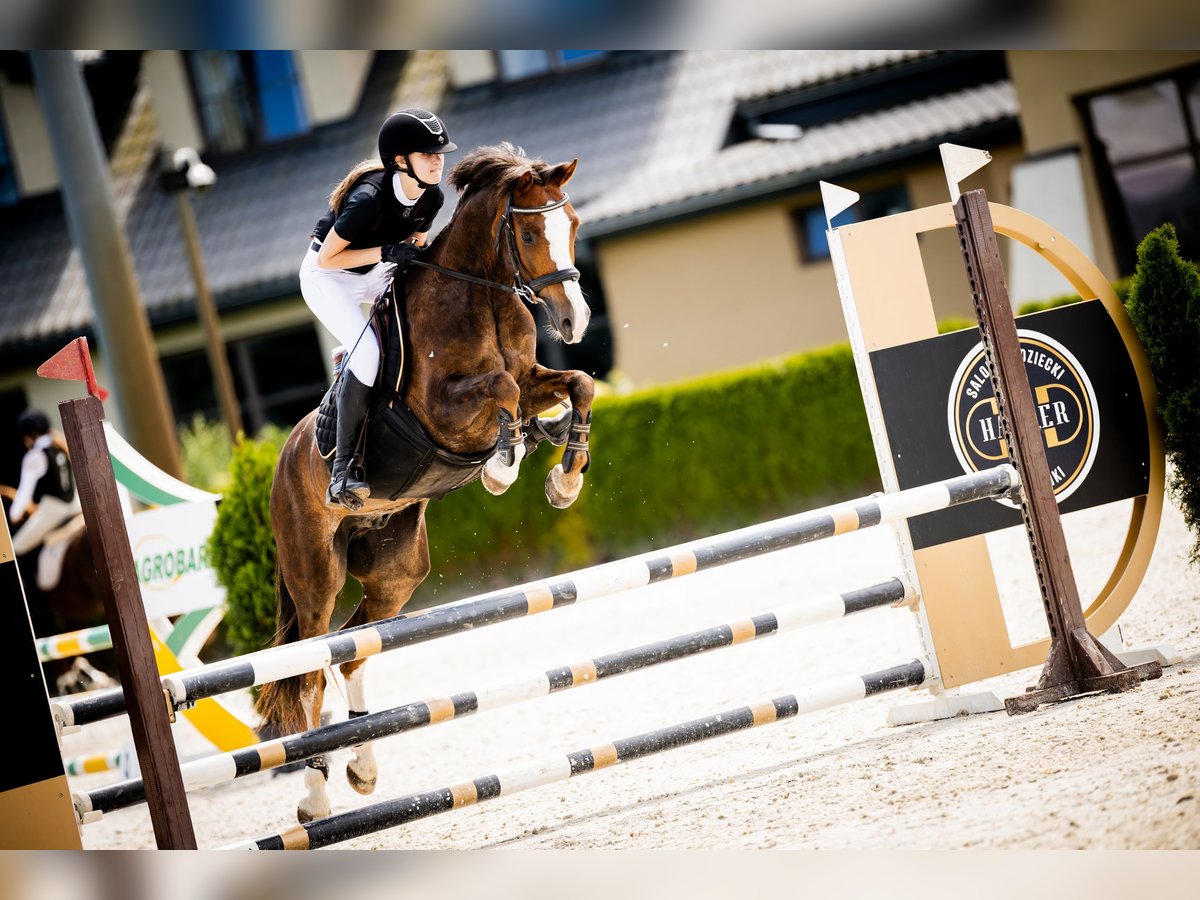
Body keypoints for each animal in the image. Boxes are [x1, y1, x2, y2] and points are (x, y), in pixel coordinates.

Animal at [256, 143, 595, 823]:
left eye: (571, 225)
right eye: (526, 234)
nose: (575, 320)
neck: (482, 297)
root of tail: (280, 467)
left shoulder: (538, 375)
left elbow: (577, 382)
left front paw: (563, 478)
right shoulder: (439, 410)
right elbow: (503, 389)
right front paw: (502, 468)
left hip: (396, 570)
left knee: (352, 648)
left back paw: (362, 770)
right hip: (315, 574)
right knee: (310, 668)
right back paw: (314, 797)